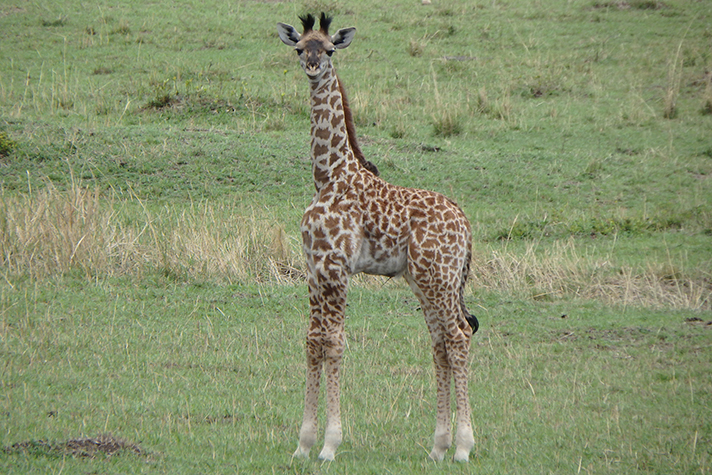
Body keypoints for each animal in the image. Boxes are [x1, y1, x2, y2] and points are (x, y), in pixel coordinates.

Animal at [277, 13, 479, 462]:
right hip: (424, 280)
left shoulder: (336, 268)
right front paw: (302, 444)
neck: (327, 175)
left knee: (458, 337)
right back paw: (438, 448)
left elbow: (334, 343)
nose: (312, 68)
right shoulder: (314, 268)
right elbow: (312, 341)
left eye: (329, 50)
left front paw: (329, 445)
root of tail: (466, 225)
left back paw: (462, 447)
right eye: (300, 48)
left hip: (440, 278)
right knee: (441, 342)